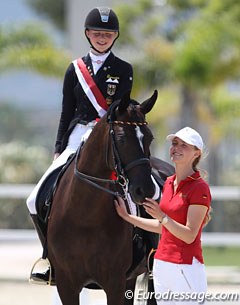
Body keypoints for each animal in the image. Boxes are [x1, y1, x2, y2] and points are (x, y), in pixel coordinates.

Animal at [47, 89, 163, 304]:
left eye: (150, 138)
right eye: (122, 138)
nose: (145, 191)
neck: (84, 214)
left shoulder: (114, 281)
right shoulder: (67, 284)